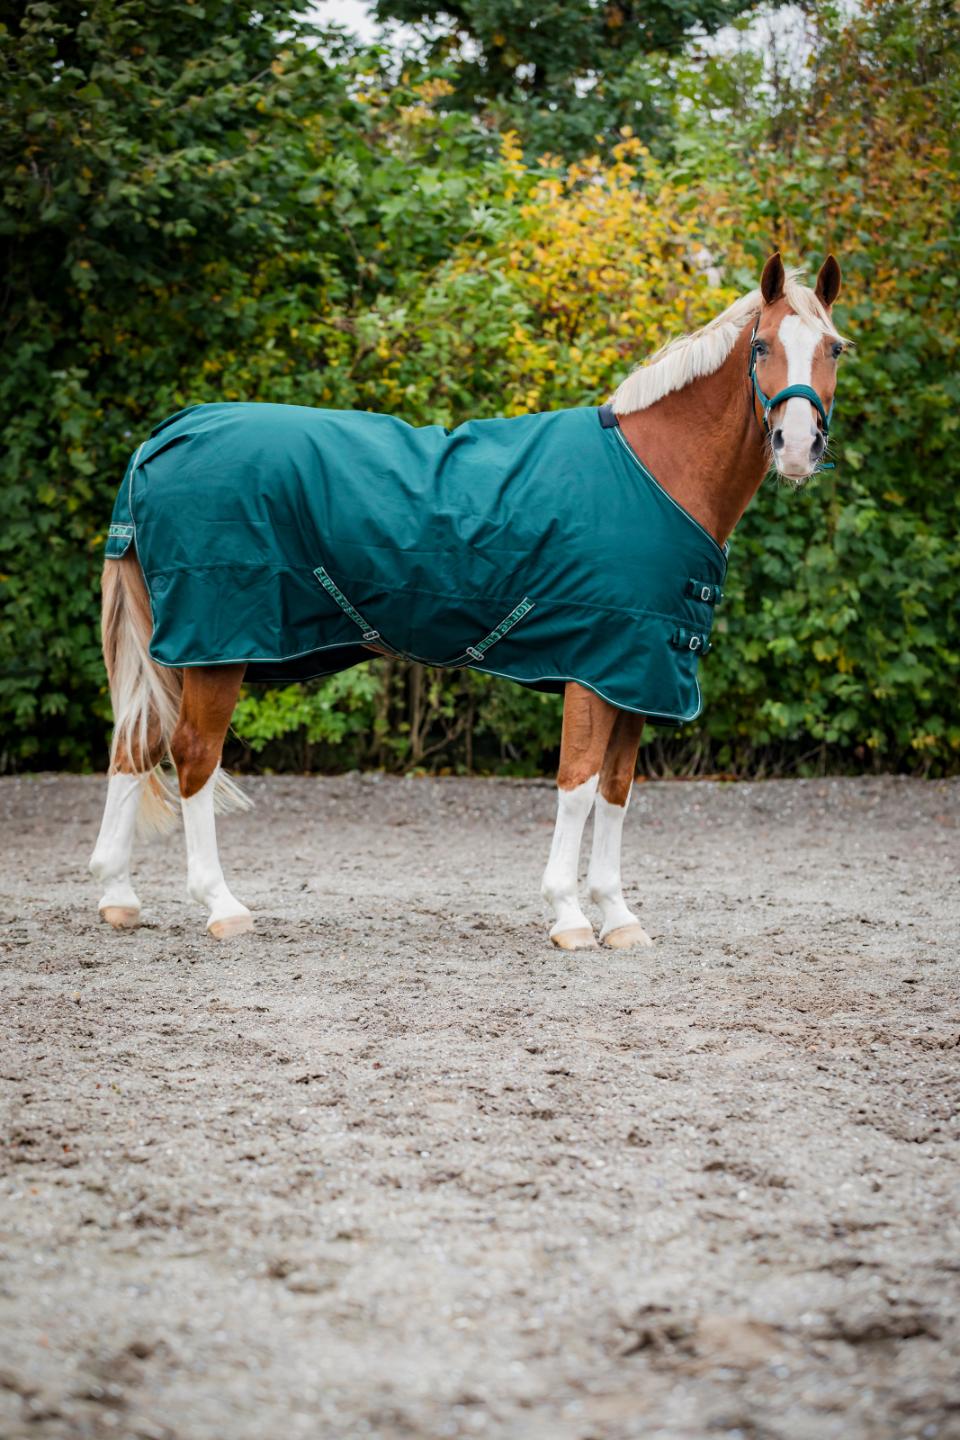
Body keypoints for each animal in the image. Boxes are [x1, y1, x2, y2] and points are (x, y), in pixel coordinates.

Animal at [89, 251, 845, 946]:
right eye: (761, 346)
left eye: (834, 347)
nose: (797, 446)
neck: (653, 473)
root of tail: (165, 435)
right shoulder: (596, 664)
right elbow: (577, 784)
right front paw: (569, 915)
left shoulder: (640, 672)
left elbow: (616, 791)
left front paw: (618, 916)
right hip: (215, 647)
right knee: (193, 756)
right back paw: (220, 905)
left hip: (178, 647)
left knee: (134, 743)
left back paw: (118, 896)